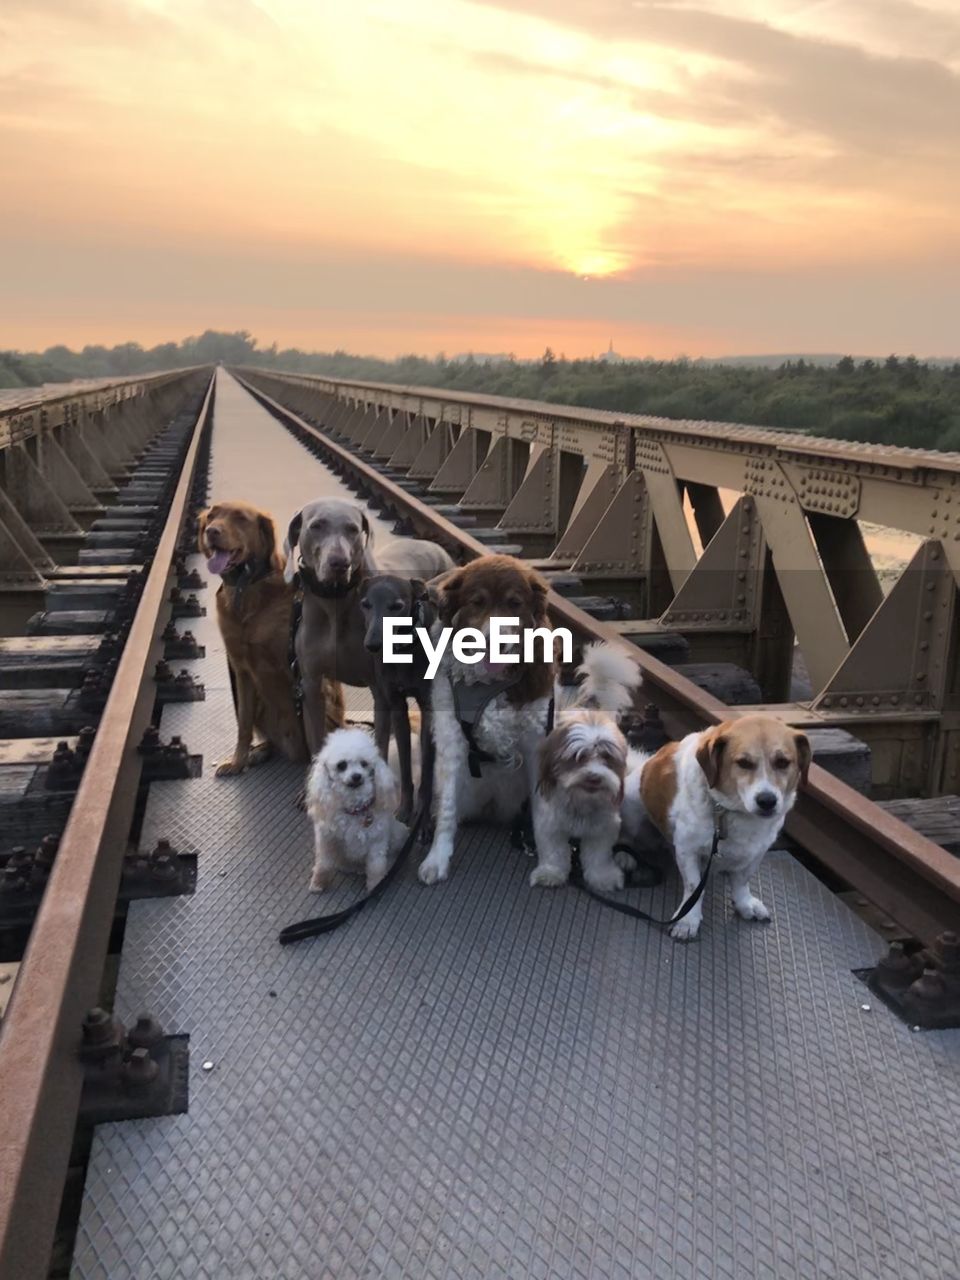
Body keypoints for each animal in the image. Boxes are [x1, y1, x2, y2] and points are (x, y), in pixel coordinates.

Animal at [198, 501, 345, 778]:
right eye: (211, 516)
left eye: (240, 518)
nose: (211, 531)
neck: (245, 589)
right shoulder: (241, 670)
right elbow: (243, 725)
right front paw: (237, 762)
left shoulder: (301, 672)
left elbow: (312, 732)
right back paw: (258, 752)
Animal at [284, 494, 455, 762]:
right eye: (316, 526)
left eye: (353, 529)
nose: (339, 563)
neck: (335, 604)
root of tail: (436, 546)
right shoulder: (310, 686)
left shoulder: (380, 691)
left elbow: (380, 746)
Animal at [305, 727, 407, 896]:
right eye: (342, 765)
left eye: (364, 764)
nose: (357, 776)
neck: (354, 809)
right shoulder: (326, 839)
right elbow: (324, 863)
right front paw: (318, 883)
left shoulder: (377, 843)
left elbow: (376, 868)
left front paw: (375, 888)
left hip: (397, 835)